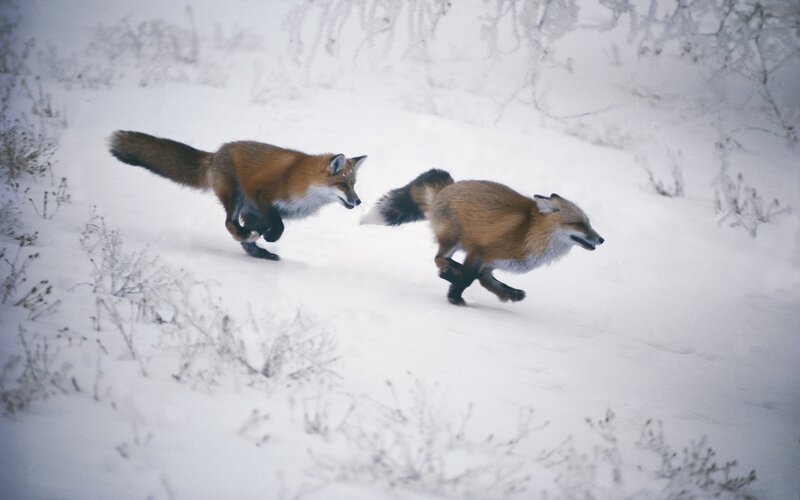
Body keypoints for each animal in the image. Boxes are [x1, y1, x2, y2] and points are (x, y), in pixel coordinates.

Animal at [108, 131, 367, 260]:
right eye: (343, 184)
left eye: (353, 185)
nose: (358, 201)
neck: (305, 187)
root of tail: (216, 154)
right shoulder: (260, 194)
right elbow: (278, 226)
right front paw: (269, 237)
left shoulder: (265, 212)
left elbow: (271, 227)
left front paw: (264, 240)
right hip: (236, 196)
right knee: (229, 224)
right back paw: (249, 238)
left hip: (244, 207)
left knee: (241, 235)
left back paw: (260, 251)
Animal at [361, 169, 604, 305]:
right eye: (579, 224)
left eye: (589, 223)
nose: (601, 240)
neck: (529, 233)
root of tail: (449, 186)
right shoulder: (480, 252)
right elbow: (469, 278)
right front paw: (455, 297)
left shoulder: (491, 264)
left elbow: (488, 281)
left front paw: (510, 294)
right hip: (453, 238)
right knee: (439, 259)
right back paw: (450, 271)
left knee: (446, 262)